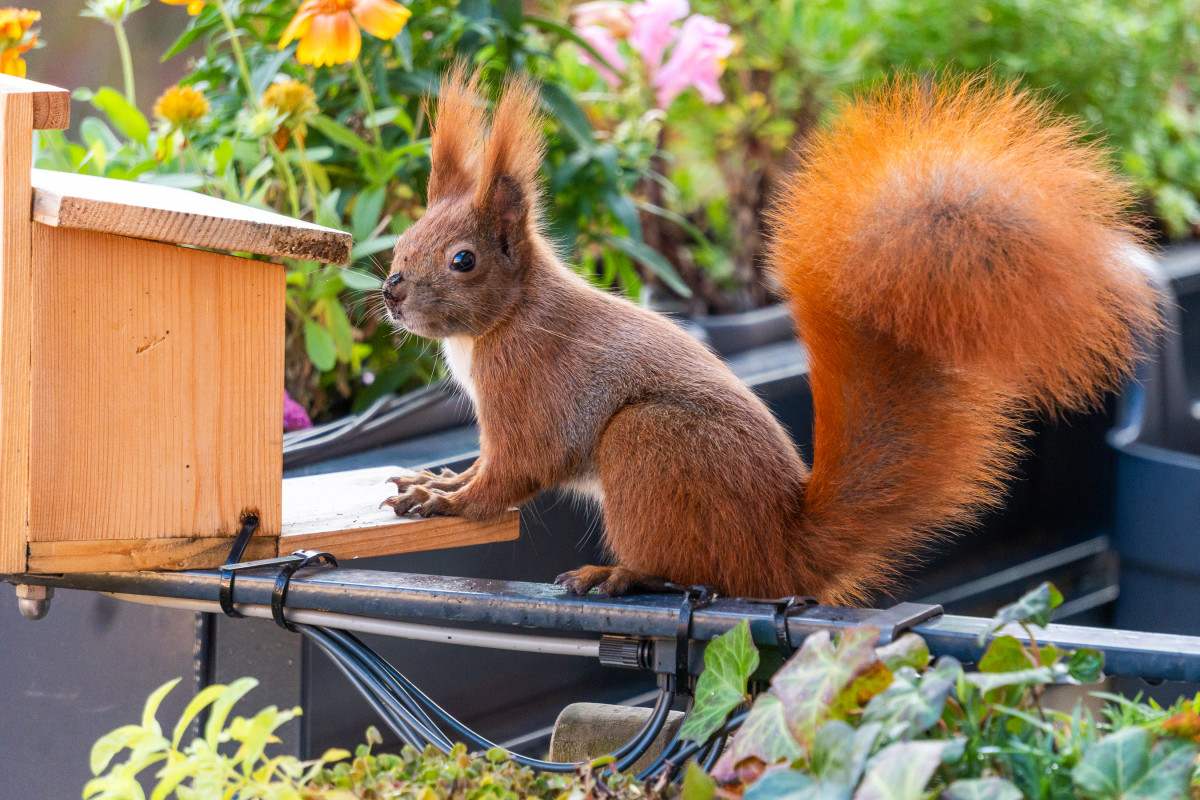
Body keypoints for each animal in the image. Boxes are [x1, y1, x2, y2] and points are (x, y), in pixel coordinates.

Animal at [376, 68, 1161, 604]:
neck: (504, 319)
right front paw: (436, 479)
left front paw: (448, 503)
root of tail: (782, 554)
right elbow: (485, 466)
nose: (391, 290)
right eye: (407, 235)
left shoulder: (532, 389)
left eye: (463, 260)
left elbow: (510, 474)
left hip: (649, 444)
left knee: (687, 571)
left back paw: (617, 573)